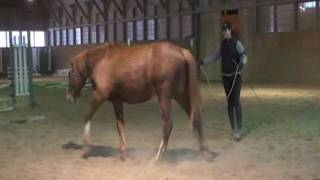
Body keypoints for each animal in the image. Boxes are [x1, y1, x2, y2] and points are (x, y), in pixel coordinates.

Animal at [67, 42, 208, 160]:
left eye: (71, 74)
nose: (69, 97)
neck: (102, 60)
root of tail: (181, 51)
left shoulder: (100, 95)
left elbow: (87, 115)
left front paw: (85, 147)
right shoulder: (117, 101)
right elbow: (120, 125)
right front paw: (123, 153)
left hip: (165, 97)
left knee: (167, 124)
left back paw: (157, 158)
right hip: (180, 96)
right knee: (196, 118)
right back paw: (203, 152)